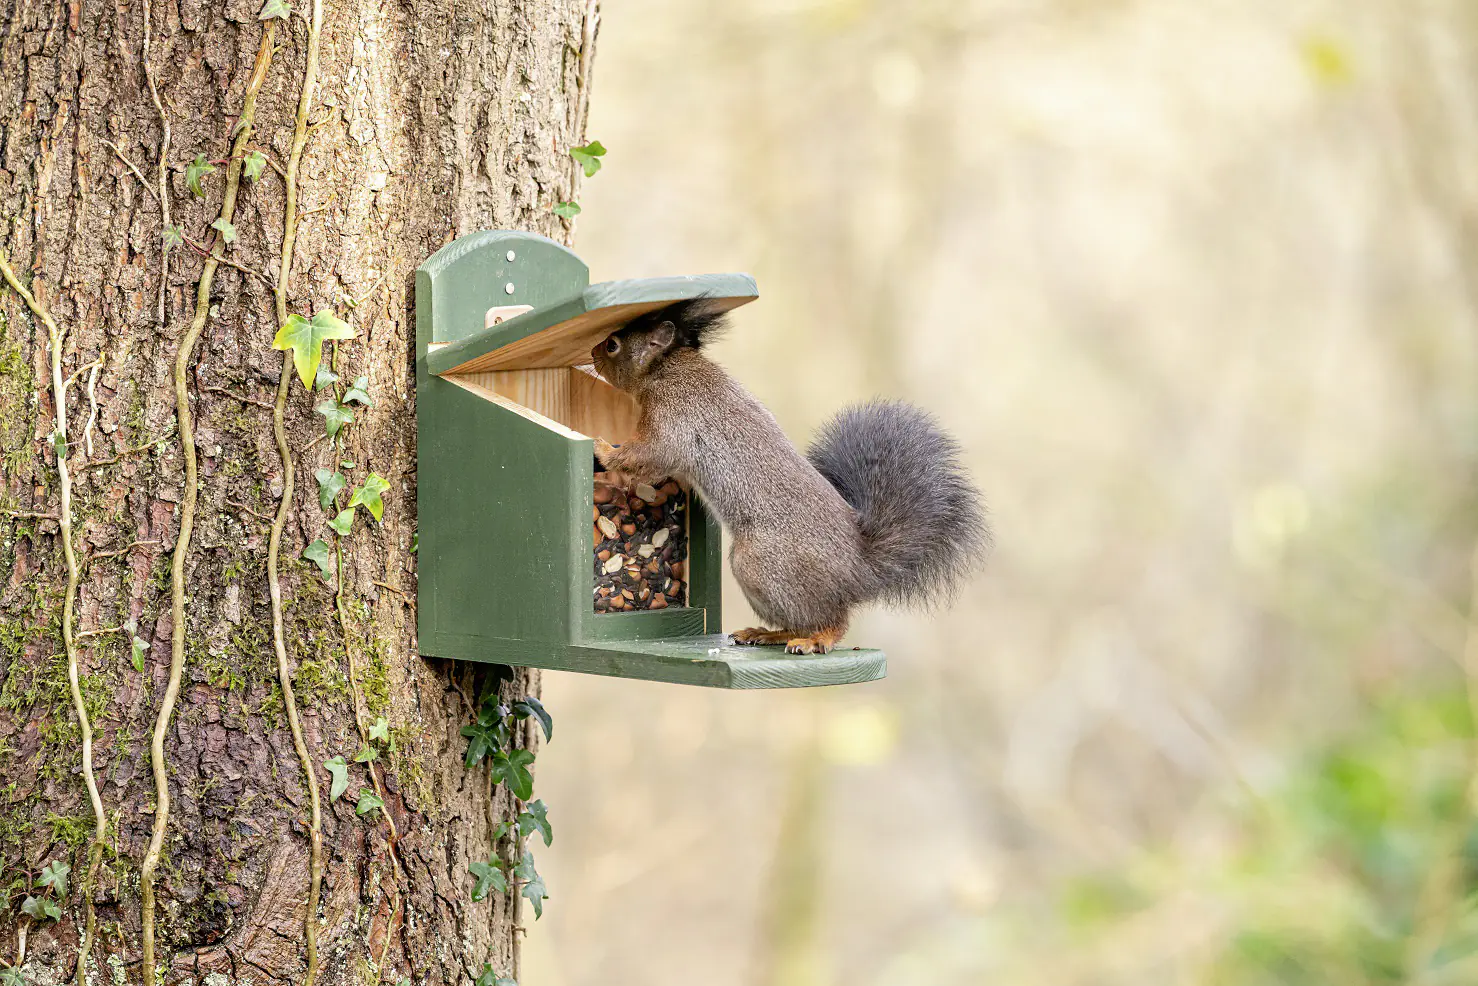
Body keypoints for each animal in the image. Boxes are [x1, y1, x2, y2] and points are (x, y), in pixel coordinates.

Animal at [590, 299, 987, 655]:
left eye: (613, 344)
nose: (591, 353)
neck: (668, 367)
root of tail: (857, 571)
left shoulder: (675, 415)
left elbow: (652, 454)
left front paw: (602, 449)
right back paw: (770, 634)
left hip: (760, 566)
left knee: (832, 620)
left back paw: (816, 638)